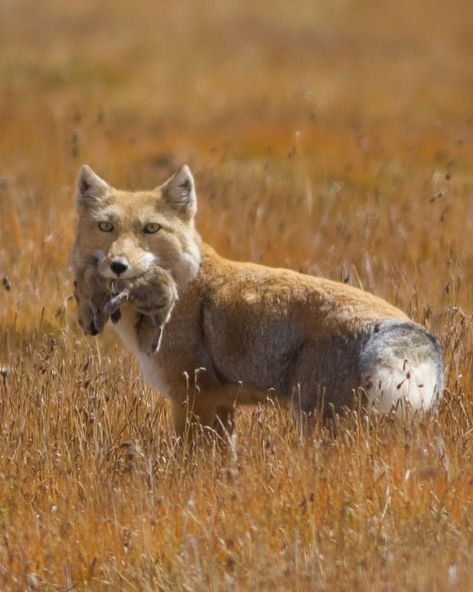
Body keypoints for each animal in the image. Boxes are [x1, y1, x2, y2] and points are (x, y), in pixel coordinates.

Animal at [70, 164, 442, 432]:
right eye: (106, 227)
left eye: (150, 229)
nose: (118, 265)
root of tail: (407, 327)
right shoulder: (219, 404)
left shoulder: (194, 397)